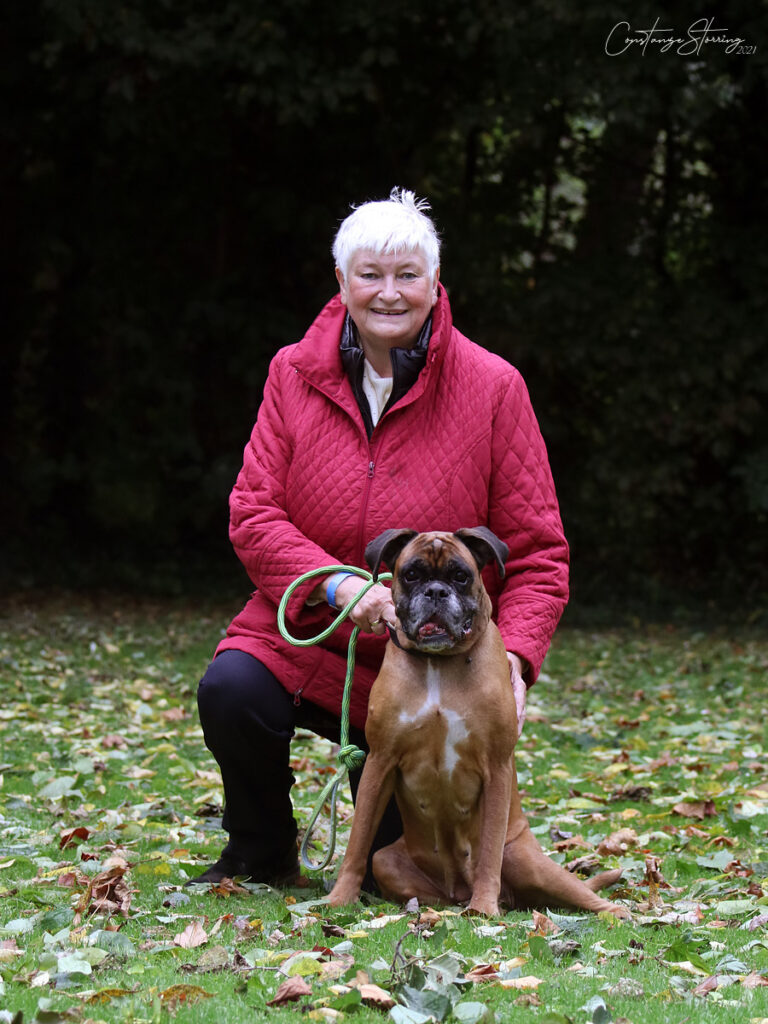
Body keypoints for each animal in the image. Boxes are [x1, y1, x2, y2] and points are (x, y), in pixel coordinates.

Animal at [327, 532, 626, 917]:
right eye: (411, 574)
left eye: (460, 575)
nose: (435, 591)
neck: (439, 664)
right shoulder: (380, 762)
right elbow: (358, 839)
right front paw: (340, 898)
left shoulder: (496, 768)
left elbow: (489, 851)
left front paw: (484, 907)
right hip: (387, 861)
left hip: (529, 862)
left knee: (582, 893)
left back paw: (614, 912)